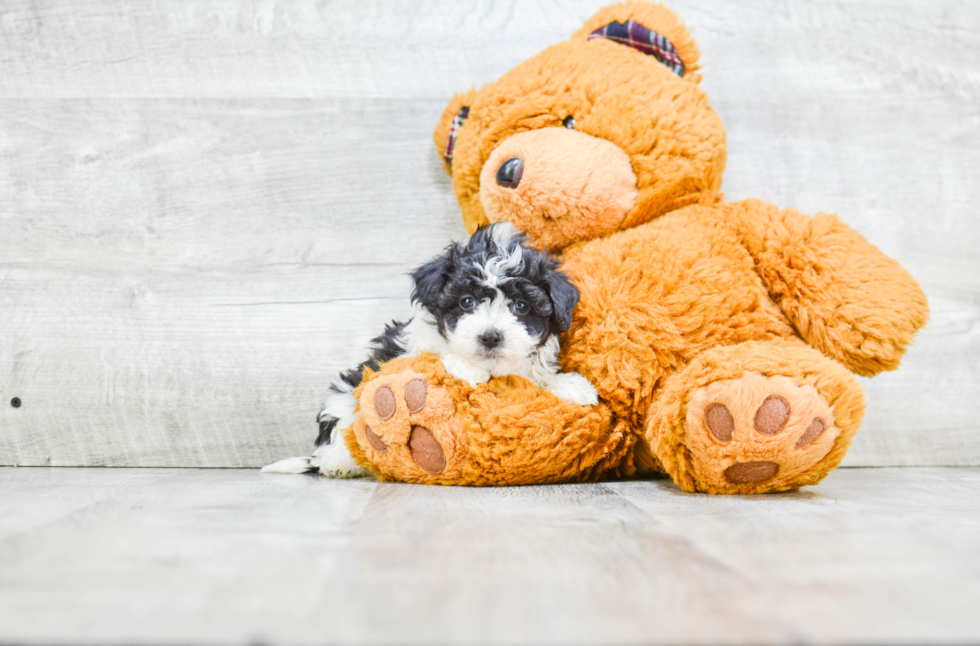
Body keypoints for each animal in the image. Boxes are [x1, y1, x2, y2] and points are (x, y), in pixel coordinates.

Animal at [262, 225, 596, 478]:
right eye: (466, 302)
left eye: (521, 306)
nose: (490, 337)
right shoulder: (404, 352)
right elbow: (435, 355)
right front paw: (466, 367)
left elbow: (537, 378)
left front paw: (572, 386)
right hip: (344, 402)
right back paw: (340, 463)